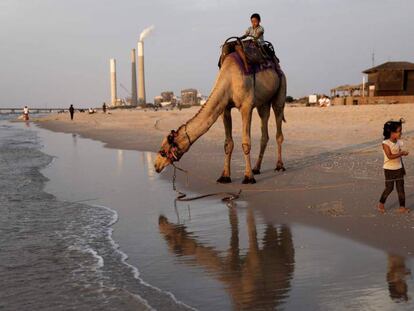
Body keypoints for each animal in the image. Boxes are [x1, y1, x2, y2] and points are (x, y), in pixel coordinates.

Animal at [154, 50, 286, 185]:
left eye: (163, 151)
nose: (156, 166)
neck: (229, 79)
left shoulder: (246, 106)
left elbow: (246, 142)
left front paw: (248, 177)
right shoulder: (225, 108)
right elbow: (228, 143)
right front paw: (225, 176)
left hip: (281, 88)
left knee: (278, 123)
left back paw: (279, 166)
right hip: (263, 103)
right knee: (264, 131)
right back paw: (256, 168)